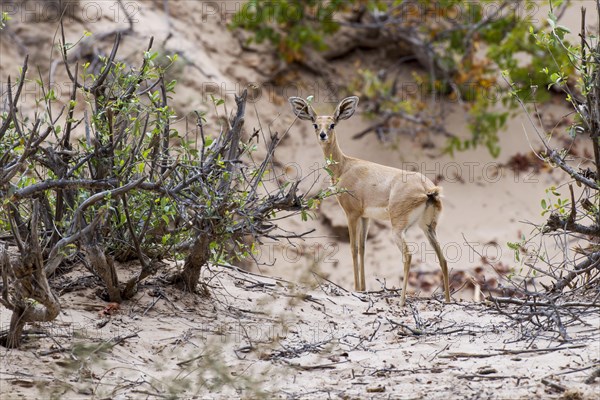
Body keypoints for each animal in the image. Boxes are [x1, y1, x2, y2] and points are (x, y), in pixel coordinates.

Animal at [288, 97, 450, 306]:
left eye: (332, 124)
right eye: (315, 124)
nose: (323, 135)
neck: (345, 166)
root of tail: (428, 189)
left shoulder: (351, 214)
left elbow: (353, 248)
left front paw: (356, 289)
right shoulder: (366, 217)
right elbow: (363, 249)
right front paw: (363, 289)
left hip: (398, 229)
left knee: (408, 256)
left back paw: (401, 301)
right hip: (428, 227)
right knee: (443, 259)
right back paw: (448, 300)